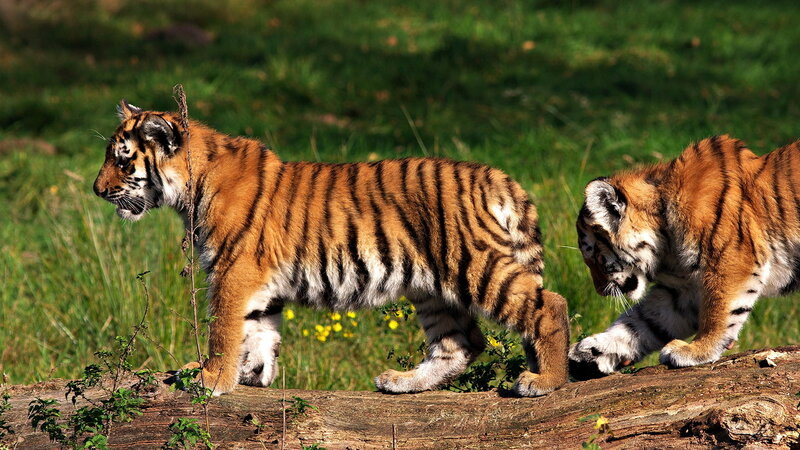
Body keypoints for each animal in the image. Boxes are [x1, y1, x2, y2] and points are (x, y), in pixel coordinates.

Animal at [93, 100, 570, 396]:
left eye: (122, 159)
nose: (97, 191)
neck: (190, 188)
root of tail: (497, 177)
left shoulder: (234, 270)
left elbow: (224, 327)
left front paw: (212, 378)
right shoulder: (258, 281)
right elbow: (258, 329)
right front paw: (252, 374)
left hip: (474, 265)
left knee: (550, 305)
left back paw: (545, 381)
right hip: (432, 288)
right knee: (462, 342)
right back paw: (401, 382)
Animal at [569, 134, 800, 379]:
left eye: (593, 256)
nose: (599, 291)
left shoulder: (731, 262)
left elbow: (718, 311)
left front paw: (697, 349)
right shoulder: (685, 291)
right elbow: (641, 321)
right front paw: (592, 351)